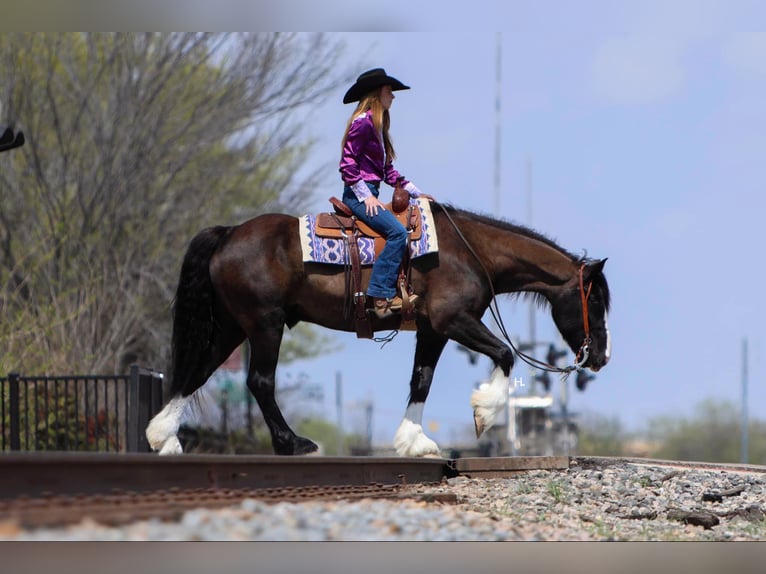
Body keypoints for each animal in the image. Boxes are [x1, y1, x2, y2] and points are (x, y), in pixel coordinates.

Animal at [146, 201, 611, 457]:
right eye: (595, 301)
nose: (601, 357)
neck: (470, 252)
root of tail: (227, 235)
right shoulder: (453, 320)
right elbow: (505, 354)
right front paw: (483, 412)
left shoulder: (433, 330)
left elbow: (421, 380)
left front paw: (413, 442)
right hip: (265, 324)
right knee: (259, 381)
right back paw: (293, 443)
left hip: (232, 325)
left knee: (198, 370)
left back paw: (163, 436)